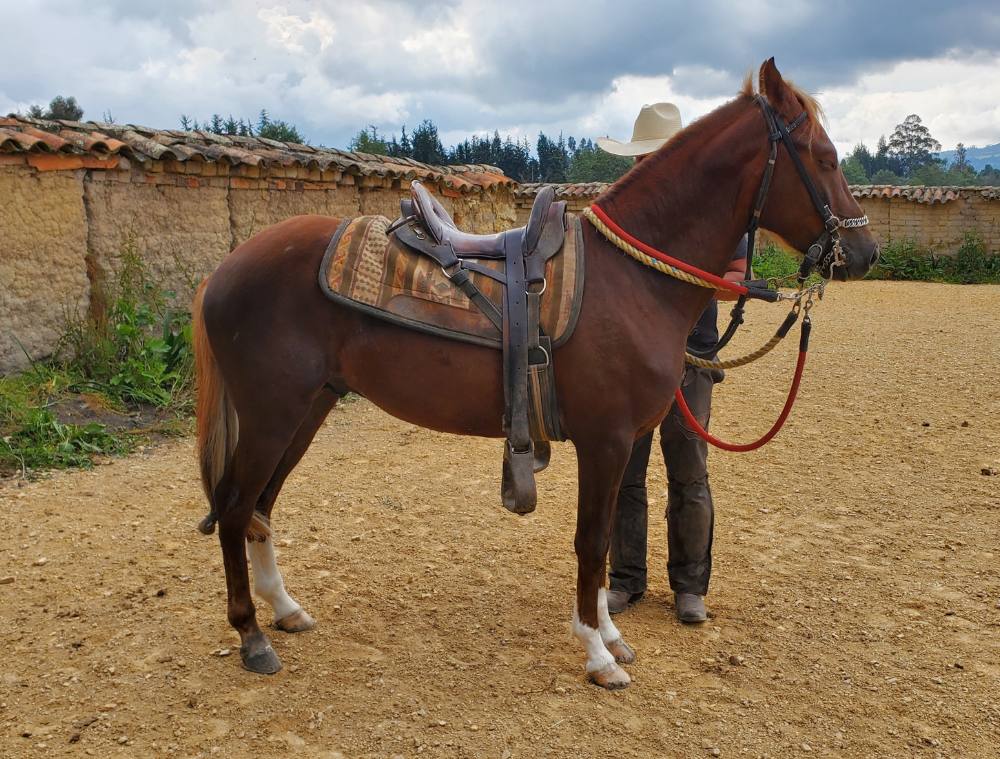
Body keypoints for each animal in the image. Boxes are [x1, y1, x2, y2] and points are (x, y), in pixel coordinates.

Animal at [192, 59, 879, 689]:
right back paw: (252, 636)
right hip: (271, 416)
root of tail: (225, 268)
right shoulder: (605, 442)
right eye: (824, 155)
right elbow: (592, 542)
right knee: (235, 506)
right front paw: (599, 654)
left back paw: (285, 610)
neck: (629, 279)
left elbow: (604, 538)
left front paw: (611, 635)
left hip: (308, 409)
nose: (864, 253)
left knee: (260, 507)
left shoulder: (622, 444)